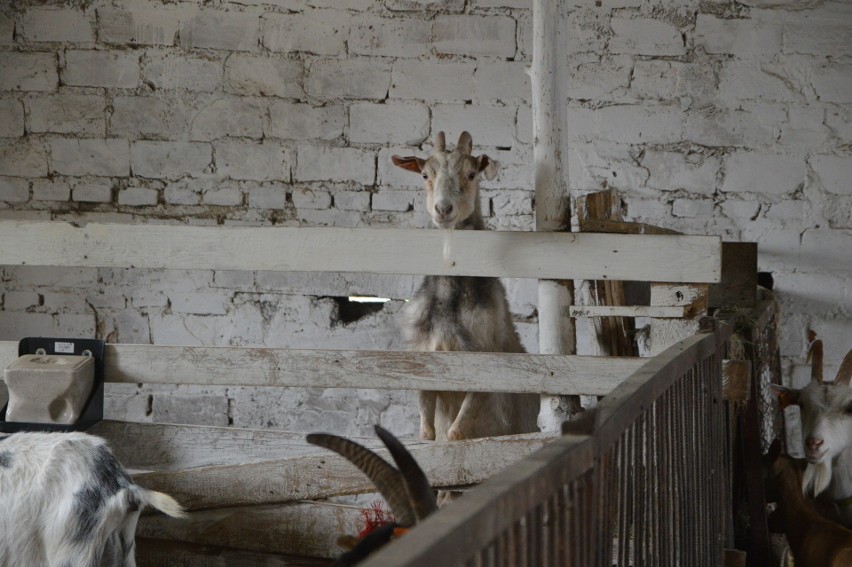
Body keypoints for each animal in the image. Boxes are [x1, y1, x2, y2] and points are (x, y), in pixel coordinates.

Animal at [392, 132, 540, 444]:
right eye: (425, 174)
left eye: (472, 174)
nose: (443, 209)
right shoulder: (424, 355)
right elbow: (427, 429)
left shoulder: (483, 358)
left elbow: (457, 431)